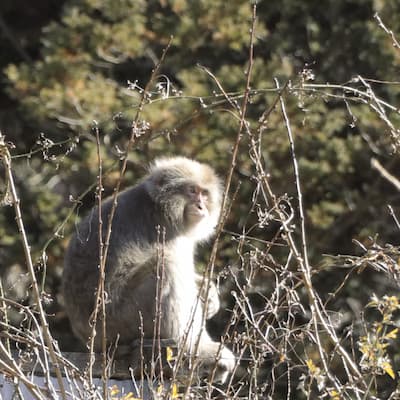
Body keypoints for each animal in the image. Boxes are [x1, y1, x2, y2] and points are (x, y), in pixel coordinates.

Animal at [62, 155, 234, 382]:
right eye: (191, 191)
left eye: (204, 194)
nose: (201, 206)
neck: (162, 210)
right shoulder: (168, 233)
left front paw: (208, 290)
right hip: (119, 321)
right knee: (166, 266)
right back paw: (193, 348)